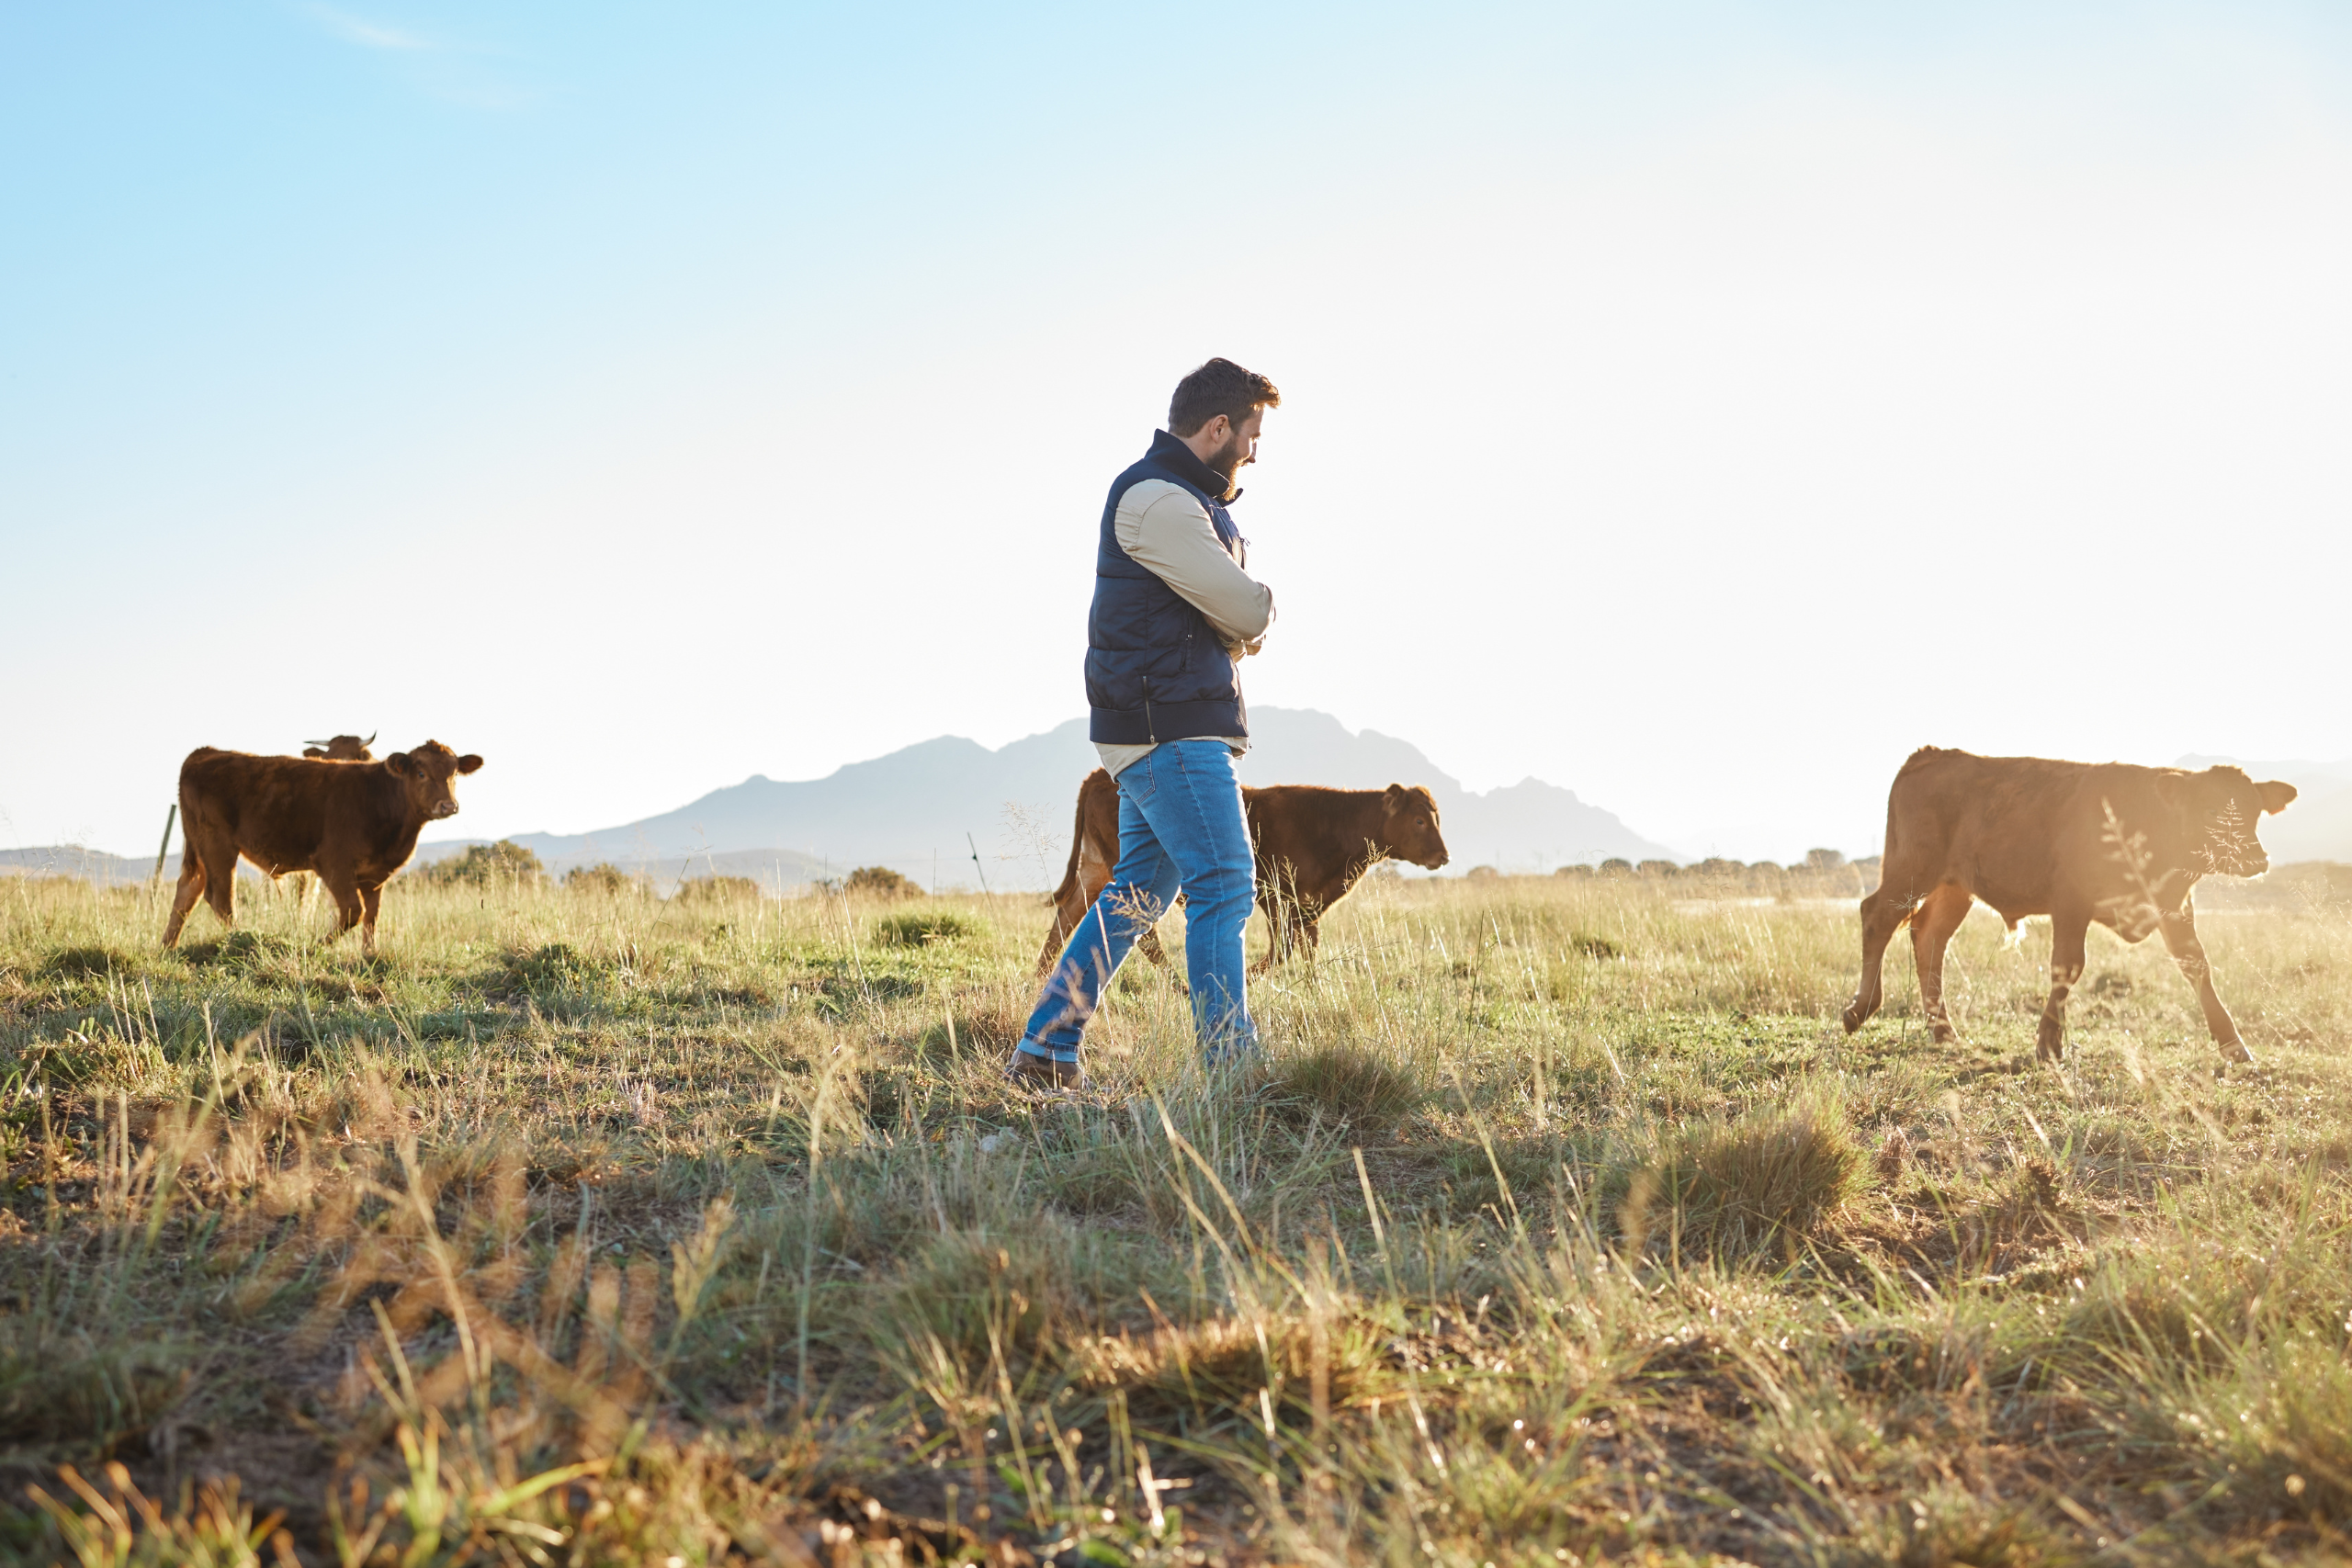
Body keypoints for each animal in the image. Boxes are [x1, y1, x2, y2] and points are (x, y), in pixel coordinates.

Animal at [163, 740, 484, 958]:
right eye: (420, 773)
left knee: (188, 891)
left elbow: (372, 917)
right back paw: (241, 940)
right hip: (217, 845)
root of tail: (206, 752)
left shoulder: (375, 874)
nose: (448, 805)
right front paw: (315, 945)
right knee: (221, 899)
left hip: (199, 849)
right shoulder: (333, 863)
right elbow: (354, 911)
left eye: (455, 773)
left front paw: (369, 954)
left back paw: (168, 947)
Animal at [1036, 769, 1451, 975]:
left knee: (1065, 920)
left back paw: (1041, 979)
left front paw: (1315, 986)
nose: (1444, 856)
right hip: (1133, 879)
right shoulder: (1275, 896)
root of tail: (1099, 776)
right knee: (1145, 938)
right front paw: (1247, 979)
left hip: (1094, 869)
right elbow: (1282, 948)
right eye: (1418, 820)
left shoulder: (1309, 905)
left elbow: (1307, 948)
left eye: (1436, 818)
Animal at [1842, 747, 2295, 1064]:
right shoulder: (2072, 900)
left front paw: (2234, 1045)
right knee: (1876, 916)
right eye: (2211, 809)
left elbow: (2196, 966)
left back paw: (1944, 1031)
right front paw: (2048, 1043)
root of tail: (1933, 753)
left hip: (1954, 888)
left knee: (1929, 938)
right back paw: (1861, 1009)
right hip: (1912, 869)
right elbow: (2068, 966)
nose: (2256, 859)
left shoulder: (2175, 906)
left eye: (2255, 811)